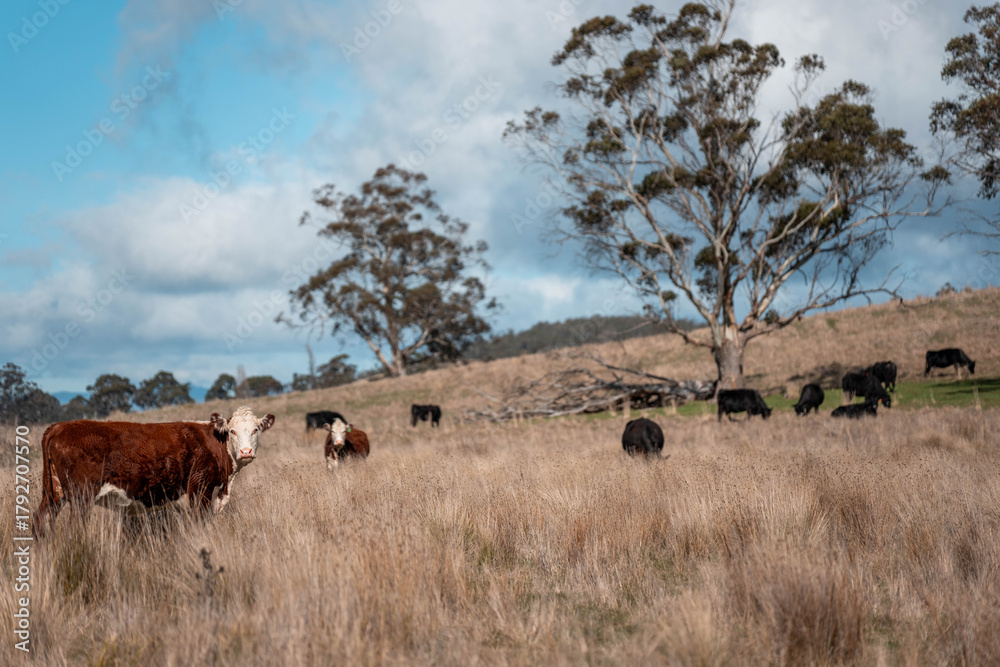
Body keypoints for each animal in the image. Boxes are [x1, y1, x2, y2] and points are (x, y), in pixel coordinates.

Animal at [33, 406, 275, 535]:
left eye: (256, 429)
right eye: (232, 431)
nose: (245, 452)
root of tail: (60, 426)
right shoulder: (200, 489)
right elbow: (198, 522)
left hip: (54, 491)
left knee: (40, 519)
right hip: (80, 495)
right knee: (75, 526)